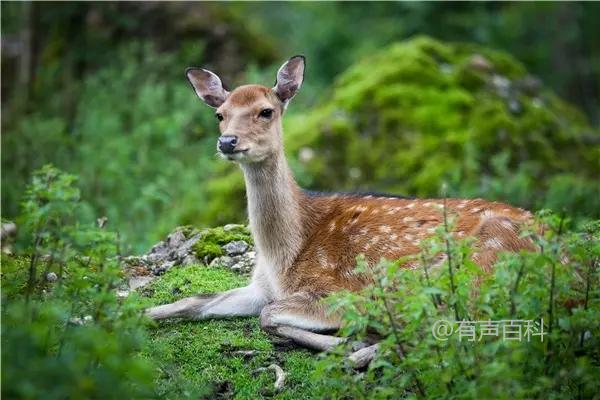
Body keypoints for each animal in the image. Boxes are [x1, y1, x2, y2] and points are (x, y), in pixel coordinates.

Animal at [148, 55, 536, 360]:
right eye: (219, 114)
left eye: (266, 111)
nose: (228, 141)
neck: (282, 256)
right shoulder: (259, 288)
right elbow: (191, 302)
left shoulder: (339, 291)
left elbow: (268, 315)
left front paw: (347, 341)